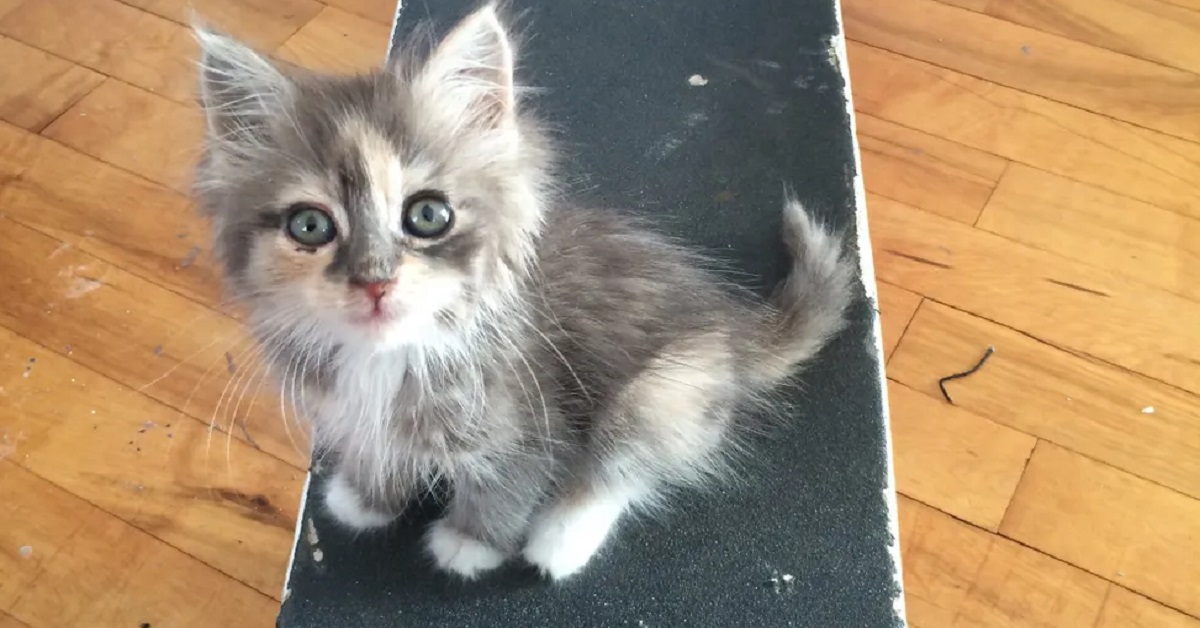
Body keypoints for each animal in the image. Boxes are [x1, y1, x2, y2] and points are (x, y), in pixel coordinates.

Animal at [192, 2, 854, 583]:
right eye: (310, 226)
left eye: (427, 215)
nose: (376, 280)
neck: (390, 357)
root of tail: (733, 327)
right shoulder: (356, 417)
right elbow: (378, 450)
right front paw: (367, 498)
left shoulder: (529, 418)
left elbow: (508, 483)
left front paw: (470, 544)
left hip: (668, 387)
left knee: (628, 464)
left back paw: (562, 537)